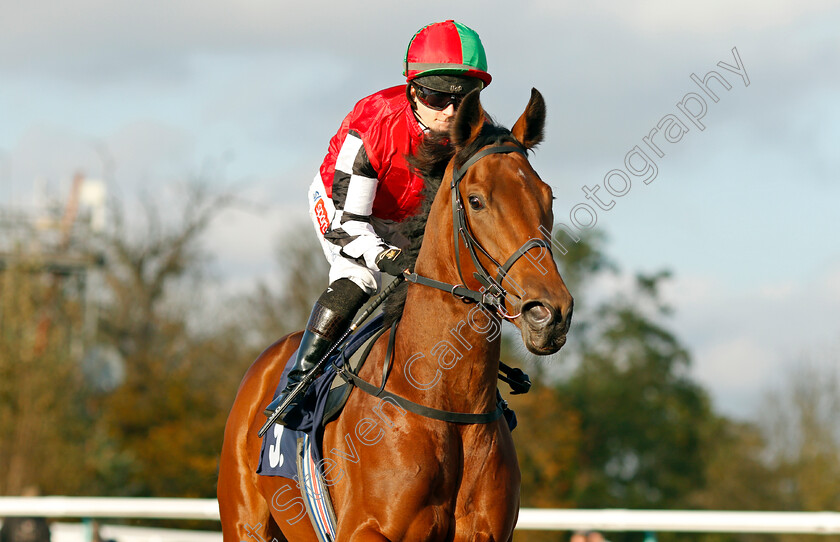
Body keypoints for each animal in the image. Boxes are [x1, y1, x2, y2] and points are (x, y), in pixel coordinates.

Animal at [217, 87, 576, 540]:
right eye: (476, 201)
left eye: (548, 197)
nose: (549, 313)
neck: (446, 403)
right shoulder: (367, 529)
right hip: (244, 524)